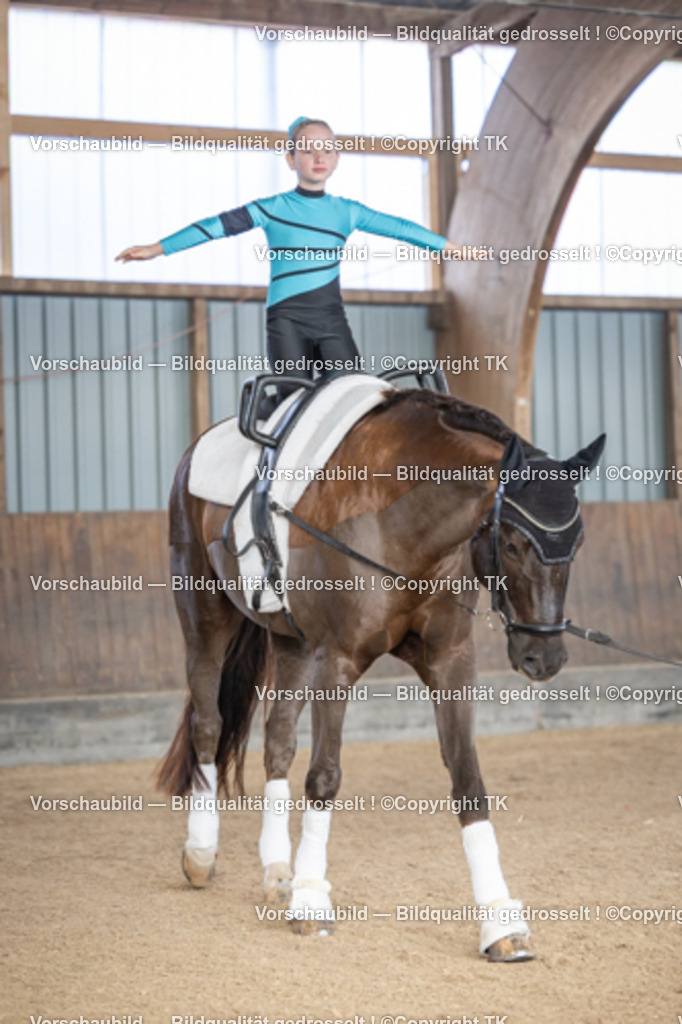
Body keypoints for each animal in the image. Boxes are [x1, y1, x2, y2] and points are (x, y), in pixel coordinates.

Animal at [157, 385, 605, 961]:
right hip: (204, 615)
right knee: (208, 726)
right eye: (511, 544)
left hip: (293, 642)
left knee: (277, 739)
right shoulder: (339, 659)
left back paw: (278, 871)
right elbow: (324, 776)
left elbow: (468, 781)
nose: (543, 659)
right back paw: (201, 853)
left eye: (577, 545)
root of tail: (197, 448)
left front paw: (501, 922)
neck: (406, 526)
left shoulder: (450, 660)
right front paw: (311, 904)